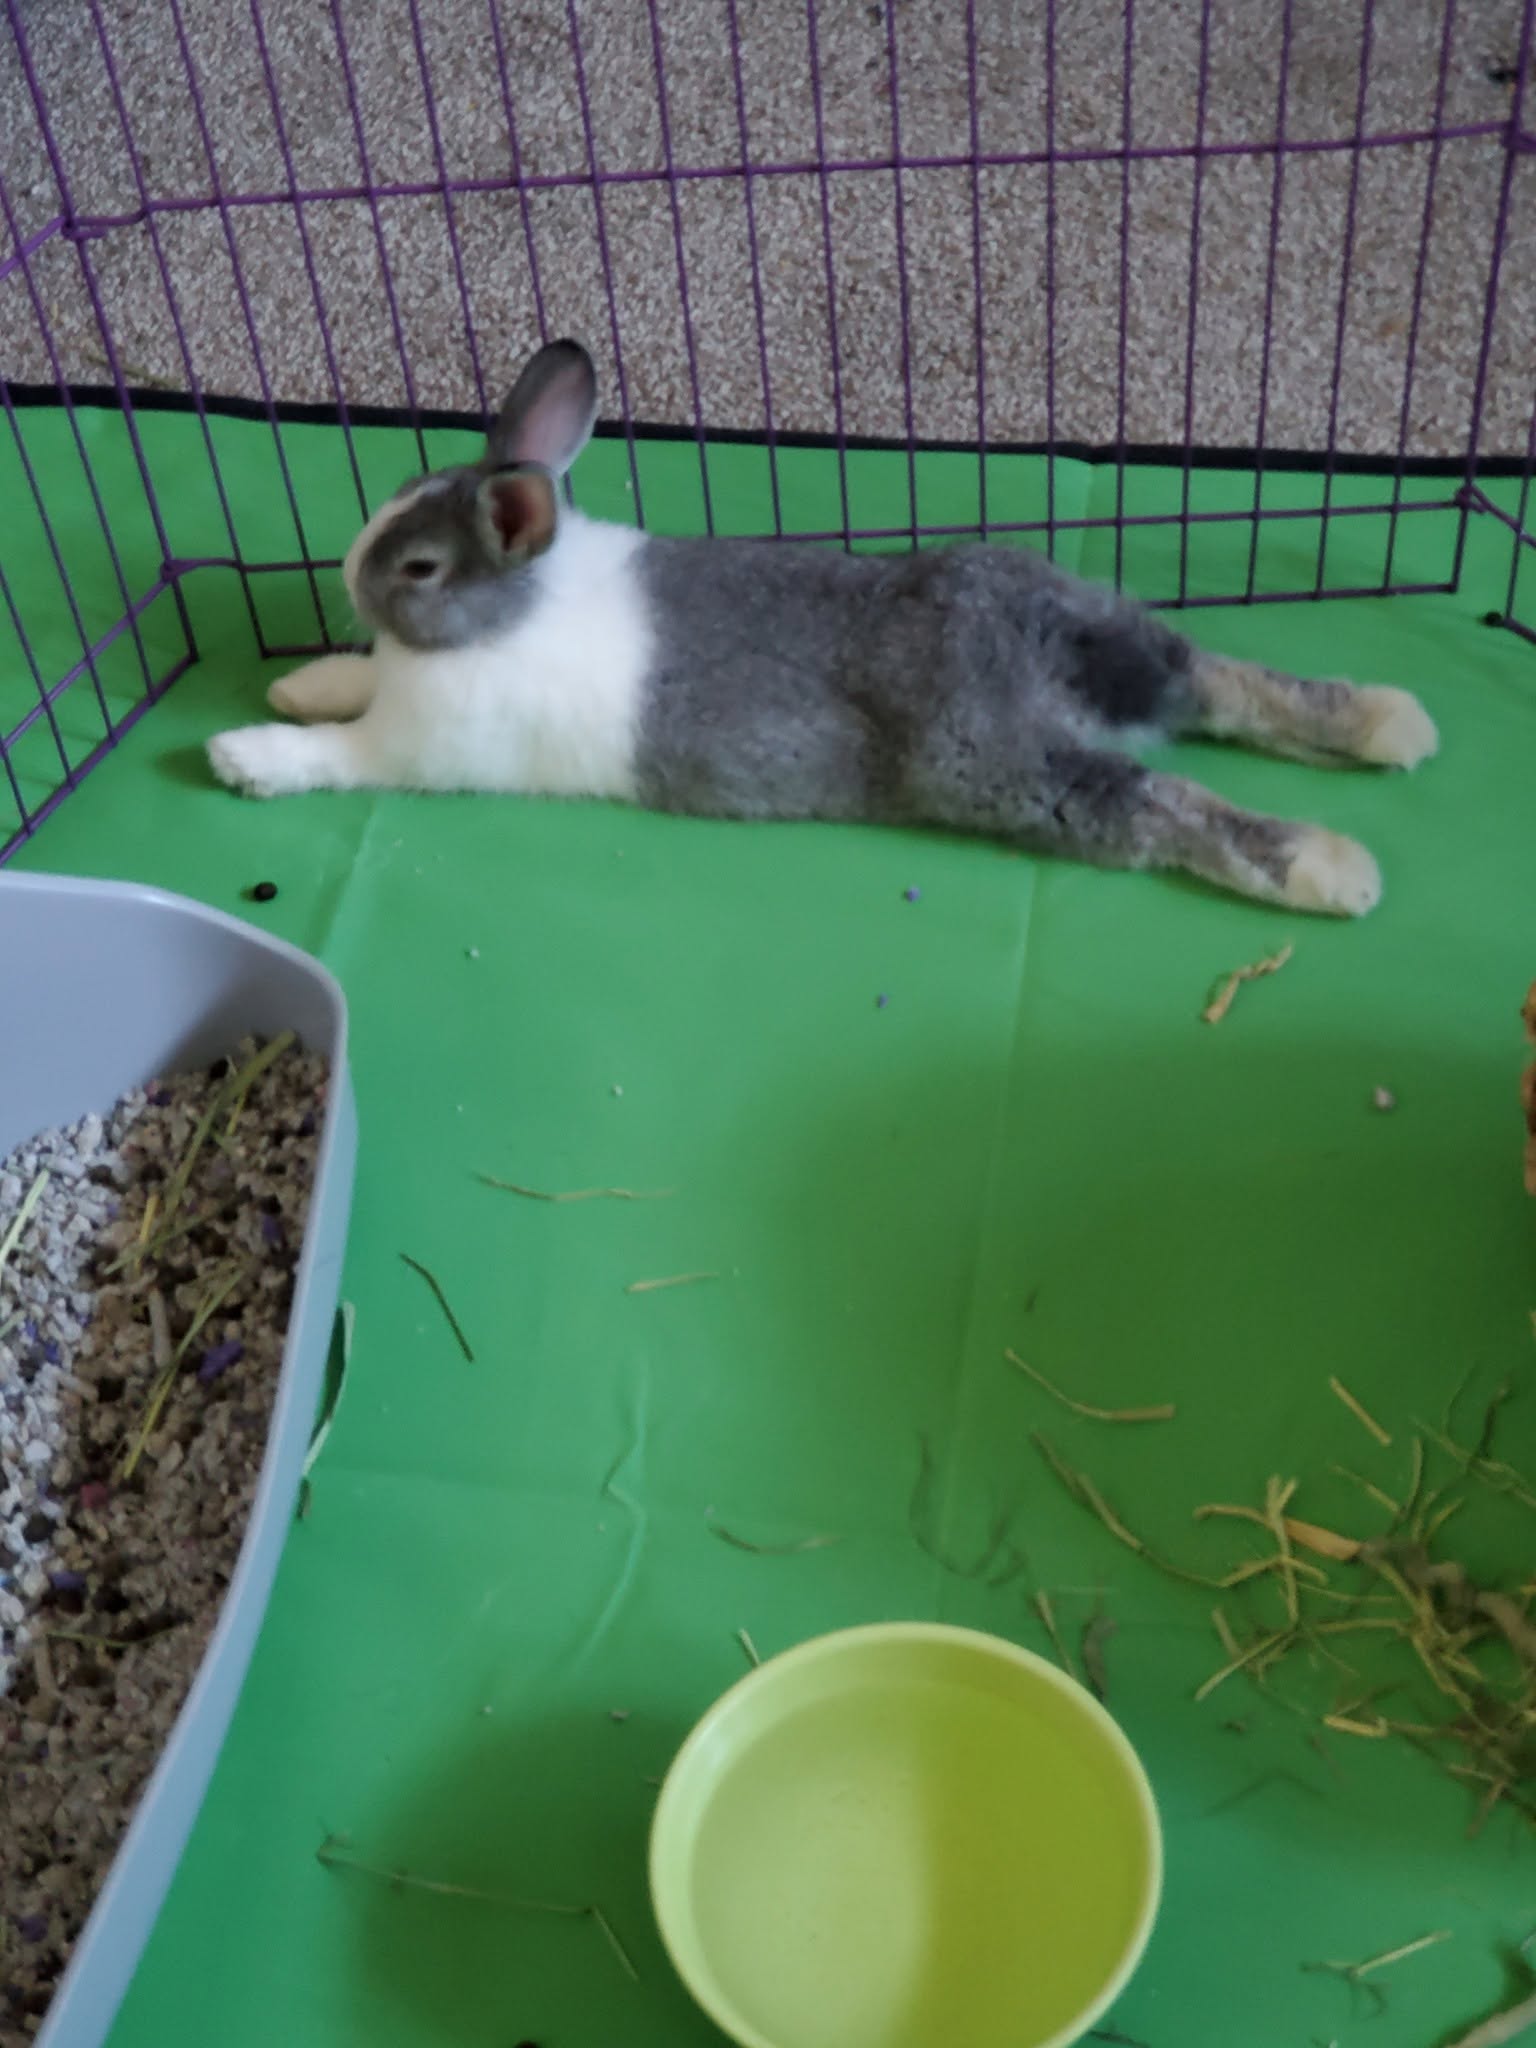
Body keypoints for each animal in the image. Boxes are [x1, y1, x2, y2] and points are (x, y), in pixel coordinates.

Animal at [207, 339, 1438, 914]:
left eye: (417, 565)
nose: (351, 572)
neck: (508, 606)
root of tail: (1026, 662)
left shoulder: (415, 747)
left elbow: (339, 752)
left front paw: (242, 752)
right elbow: (345, 684)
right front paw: (296, 680)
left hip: (997, 771)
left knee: (1163, 800)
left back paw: (1335, 868)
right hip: (1097, 628)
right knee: (1214, 679)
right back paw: (1395, 724)